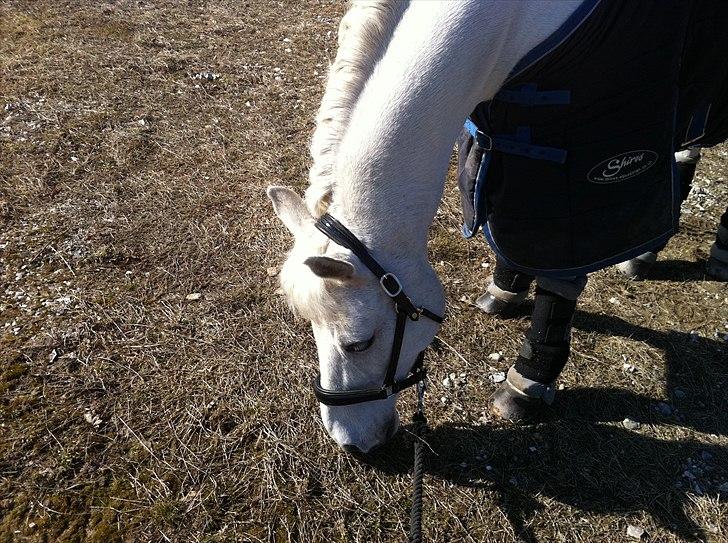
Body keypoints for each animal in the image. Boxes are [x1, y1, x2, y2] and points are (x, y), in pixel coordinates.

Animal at [268, 0, 728, 453]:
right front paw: (507, 288)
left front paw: (530, 378)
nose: (350, 441)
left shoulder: (579, 155)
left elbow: (562, 268)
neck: (509, 21)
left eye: (358, 343)